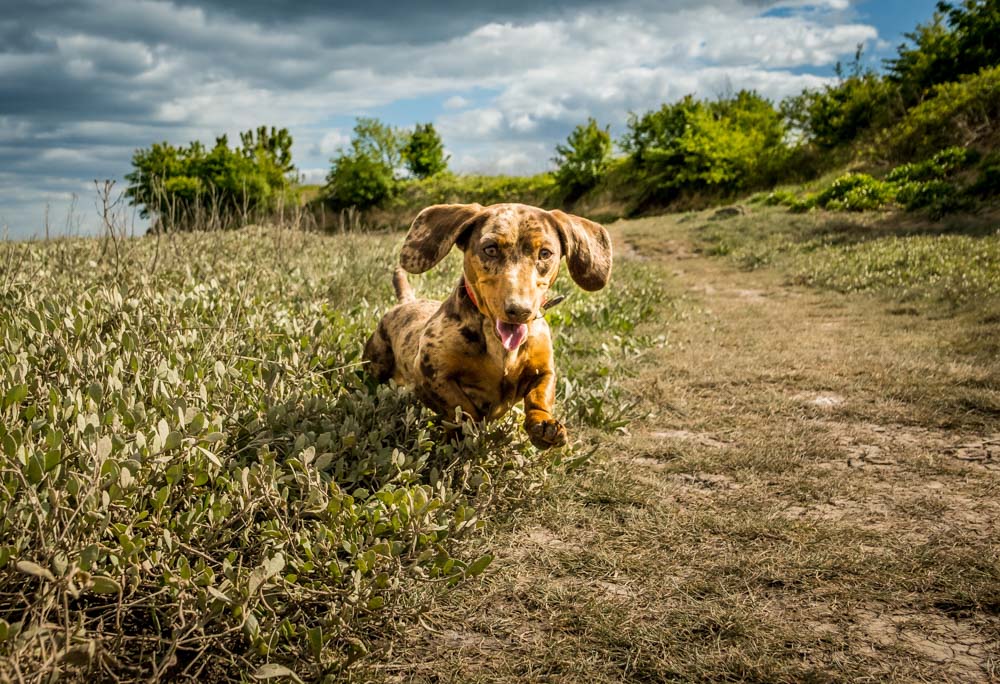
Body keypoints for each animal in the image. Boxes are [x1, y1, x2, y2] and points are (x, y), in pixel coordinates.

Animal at [364, 202, 612, 448]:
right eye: (490, 249)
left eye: (545, 253)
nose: (519, 311)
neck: (499, 346)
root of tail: (406, 301)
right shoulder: (430, 375)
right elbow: (462, 409)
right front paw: (468, 432)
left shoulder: (544, 371)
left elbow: (539, 395)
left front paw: (543, 424)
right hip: (375, 366)